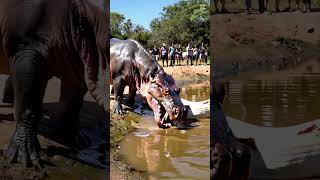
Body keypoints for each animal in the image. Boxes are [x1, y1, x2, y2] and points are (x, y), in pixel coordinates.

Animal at [0, 0, 109, 167]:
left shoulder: (77, 62)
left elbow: (72, 104)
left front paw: (76, 140)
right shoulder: (25, 50)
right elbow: (28, 103)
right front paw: (25, 159)